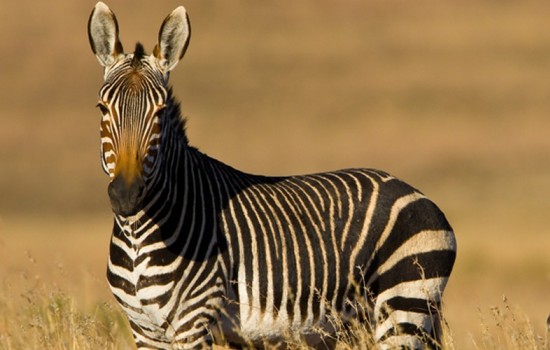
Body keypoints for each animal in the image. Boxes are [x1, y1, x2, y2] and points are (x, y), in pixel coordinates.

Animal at [87, 3, 458, 350]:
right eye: (102, 109)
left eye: (160, 113)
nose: (126, 194)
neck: (139, 234)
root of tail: (417, 193)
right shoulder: (144, 329)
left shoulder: (193, 321)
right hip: (366, 320)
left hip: (404, 305)